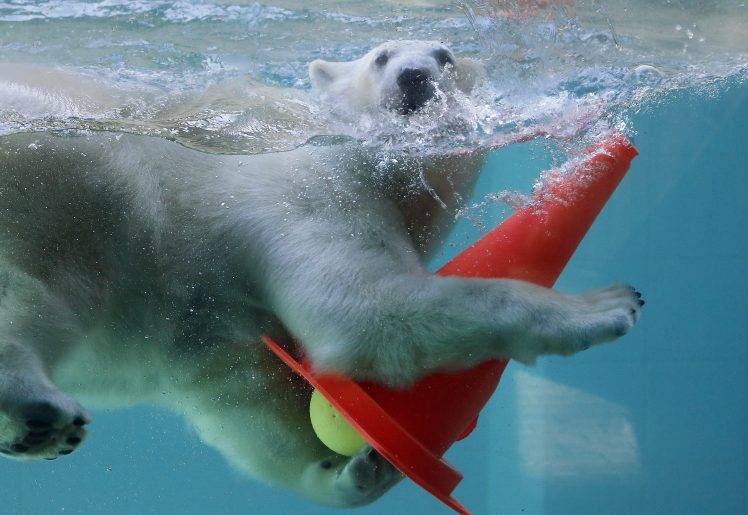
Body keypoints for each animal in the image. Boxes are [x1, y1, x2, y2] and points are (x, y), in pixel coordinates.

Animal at [0, 40, 643, 508]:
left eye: (446, 56)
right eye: (382, 56)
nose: (415, 77)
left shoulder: (214, 340)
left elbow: (251, 415)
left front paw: (363, 467)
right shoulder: (312, 181)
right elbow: (366, 309)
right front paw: (605, 305)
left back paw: (35, 425)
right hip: (71, 193)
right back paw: (38, 407)